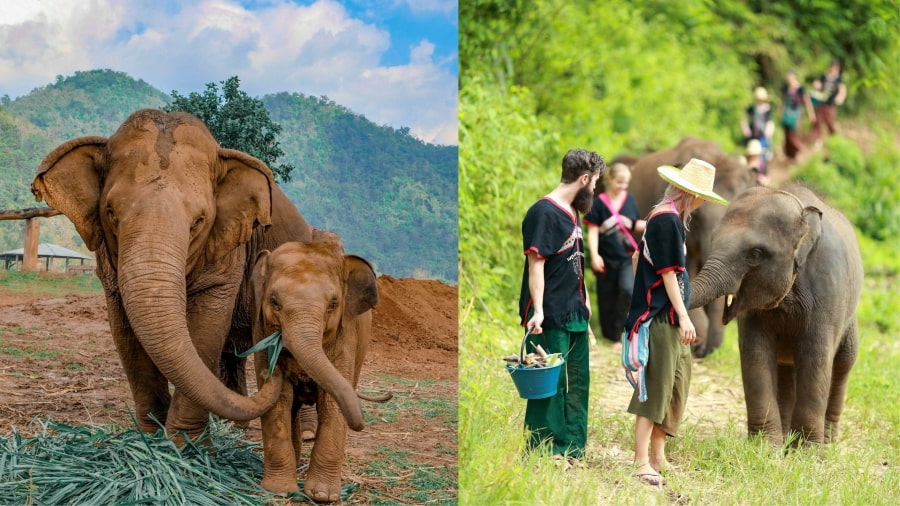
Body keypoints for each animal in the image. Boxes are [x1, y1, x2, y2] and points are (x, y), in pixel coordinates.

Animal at [30, 109, 367, 441]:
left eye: (198, 221)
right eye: (111, 213)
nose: (273, 374)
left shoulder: (228, 249)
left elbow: (206, 328)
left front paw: (185, 445)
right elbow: (124, 332)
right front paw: (151, 439)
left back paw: (303, 432)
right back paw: (234, 427)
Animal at [250, 238, 380, 501]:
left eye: (333, 304)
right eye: (274, 301)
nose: (360, 424)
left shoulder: (345, 338)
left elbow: (332, 403)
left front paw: (322, 496)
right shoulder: (260, 332)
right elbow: (278, 401)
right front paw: (279, 491)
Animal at [689, 184, 862, 445]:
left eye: (755, 253)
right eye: (713, 239)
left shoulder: (827, 292)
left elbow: (816, 357)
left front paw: (807, 451)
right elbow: (755, 354)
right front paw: (765, 447)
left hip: (849, 316)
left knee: (844, 361)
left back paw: (827, 441)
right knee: (785, 368)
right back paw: (786, 440)